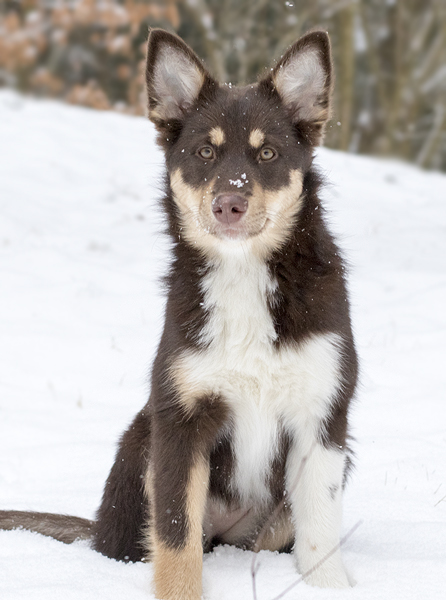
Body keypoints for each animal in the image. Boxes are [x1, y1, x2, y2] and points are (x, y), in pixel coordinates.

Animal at [0, 29, 358, 600]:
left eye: (268, 152)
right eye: (205, 151)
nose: (229, 204)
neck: (243, 274)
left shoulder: (322, 419)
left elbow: (319, 535)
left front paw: (330, 588)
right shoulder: (180, 421)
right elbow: (175, 538)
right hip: (141, 438)